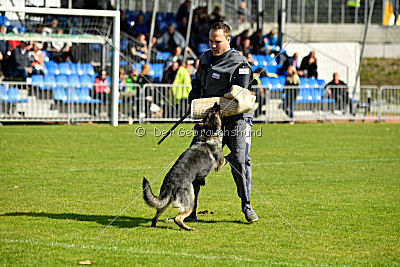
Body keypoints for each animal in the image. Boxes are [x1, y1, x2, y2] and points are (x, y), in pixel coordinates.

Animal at [143, 103, 225, 231]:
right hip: (190, 201)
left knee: (156, 215)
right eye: (215, 112)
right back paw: (188, 228)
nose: (216, 104)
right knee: (178, 218)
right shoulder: (220, 162)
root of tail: (171, 182)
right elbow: (225, 159)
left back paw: (155, 225)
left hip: (165, 203)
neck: (207, 136)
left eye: (210, 113)